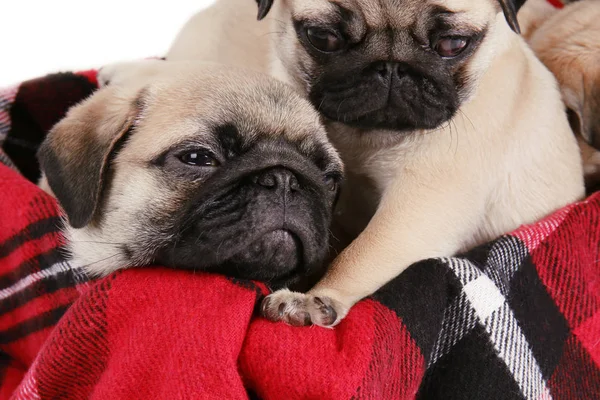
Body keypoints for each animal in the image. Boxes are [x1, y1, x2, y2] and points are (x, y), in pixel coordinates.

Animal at [165, 0, 584, 326]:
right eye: (323, 37)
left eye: (452, 43)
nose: (391, 67)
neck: (366, 135)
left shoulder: (419, 206)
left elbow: (363, 252)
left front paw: (316, 297)